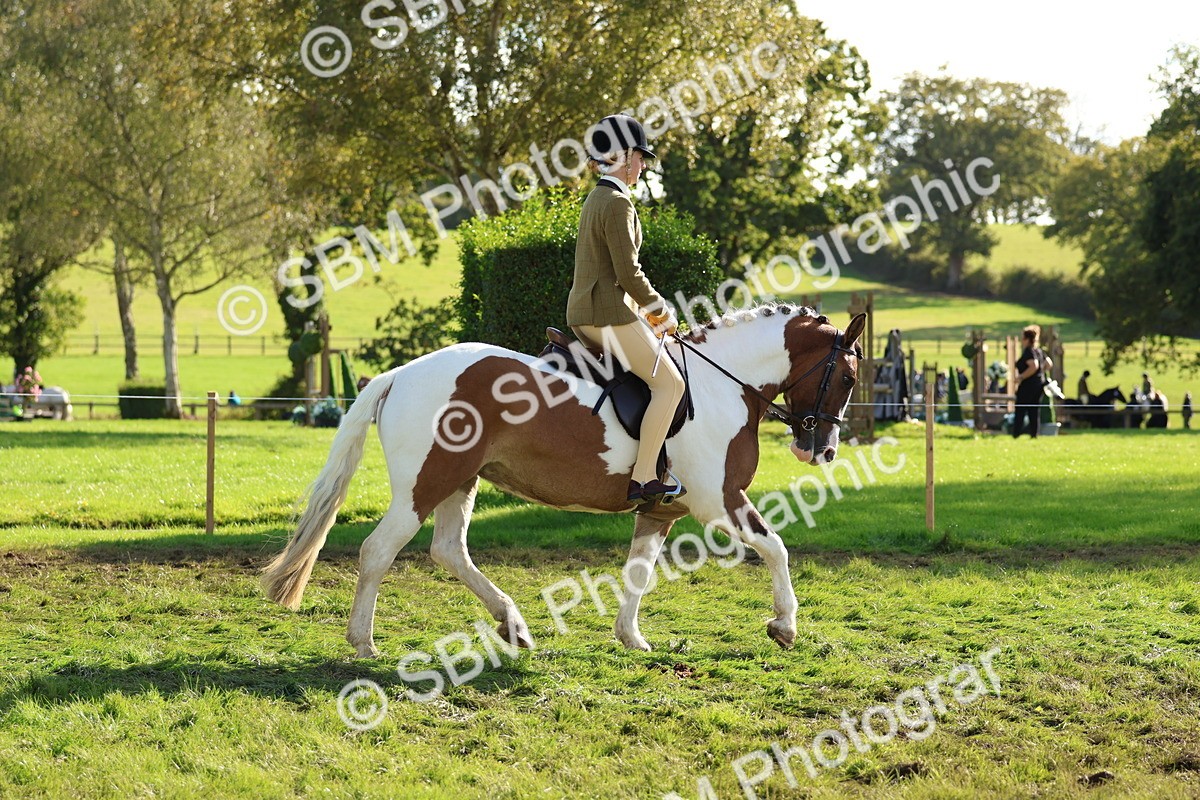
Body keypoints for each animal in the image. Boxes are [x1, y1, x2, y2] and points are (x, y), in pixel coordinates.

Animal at [262, 303, 866, 658]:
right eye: (849, 375)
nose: (822, 449)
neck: (723, 384)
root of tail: (401, 374)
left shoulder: (661, 509)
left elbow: (638, 572)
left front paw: (631, 638)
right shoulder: (718, 500)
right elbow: (776, 547)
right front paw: (784, 626)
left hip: (459, 480)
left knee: (448, 551)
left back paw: (513, 626)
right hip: (424, 484)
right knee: (378, 551)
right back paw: (364, 643)